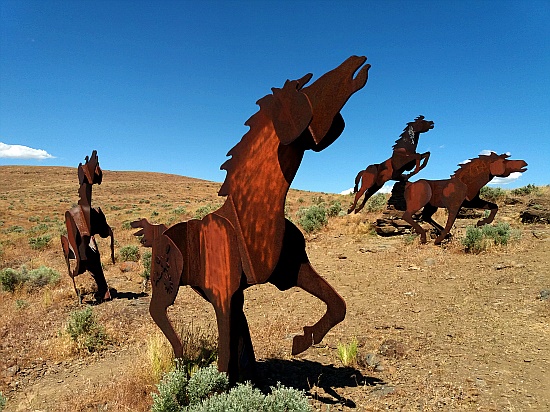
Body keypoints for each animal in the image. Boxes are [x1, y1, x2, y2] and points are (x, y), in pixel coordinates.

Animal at [132, 55, 370, 384]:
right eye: (310, 88)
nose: (356, 63)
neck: (249, 214)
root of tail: (158, 232)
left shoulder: (290, 272)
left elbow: (337, 305)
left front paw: (301, 341)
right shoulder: (222, 293)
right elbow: (223, 355)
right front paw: (220, 385)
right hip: (167, 284)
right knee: (159, 312)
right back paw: (180, 357)